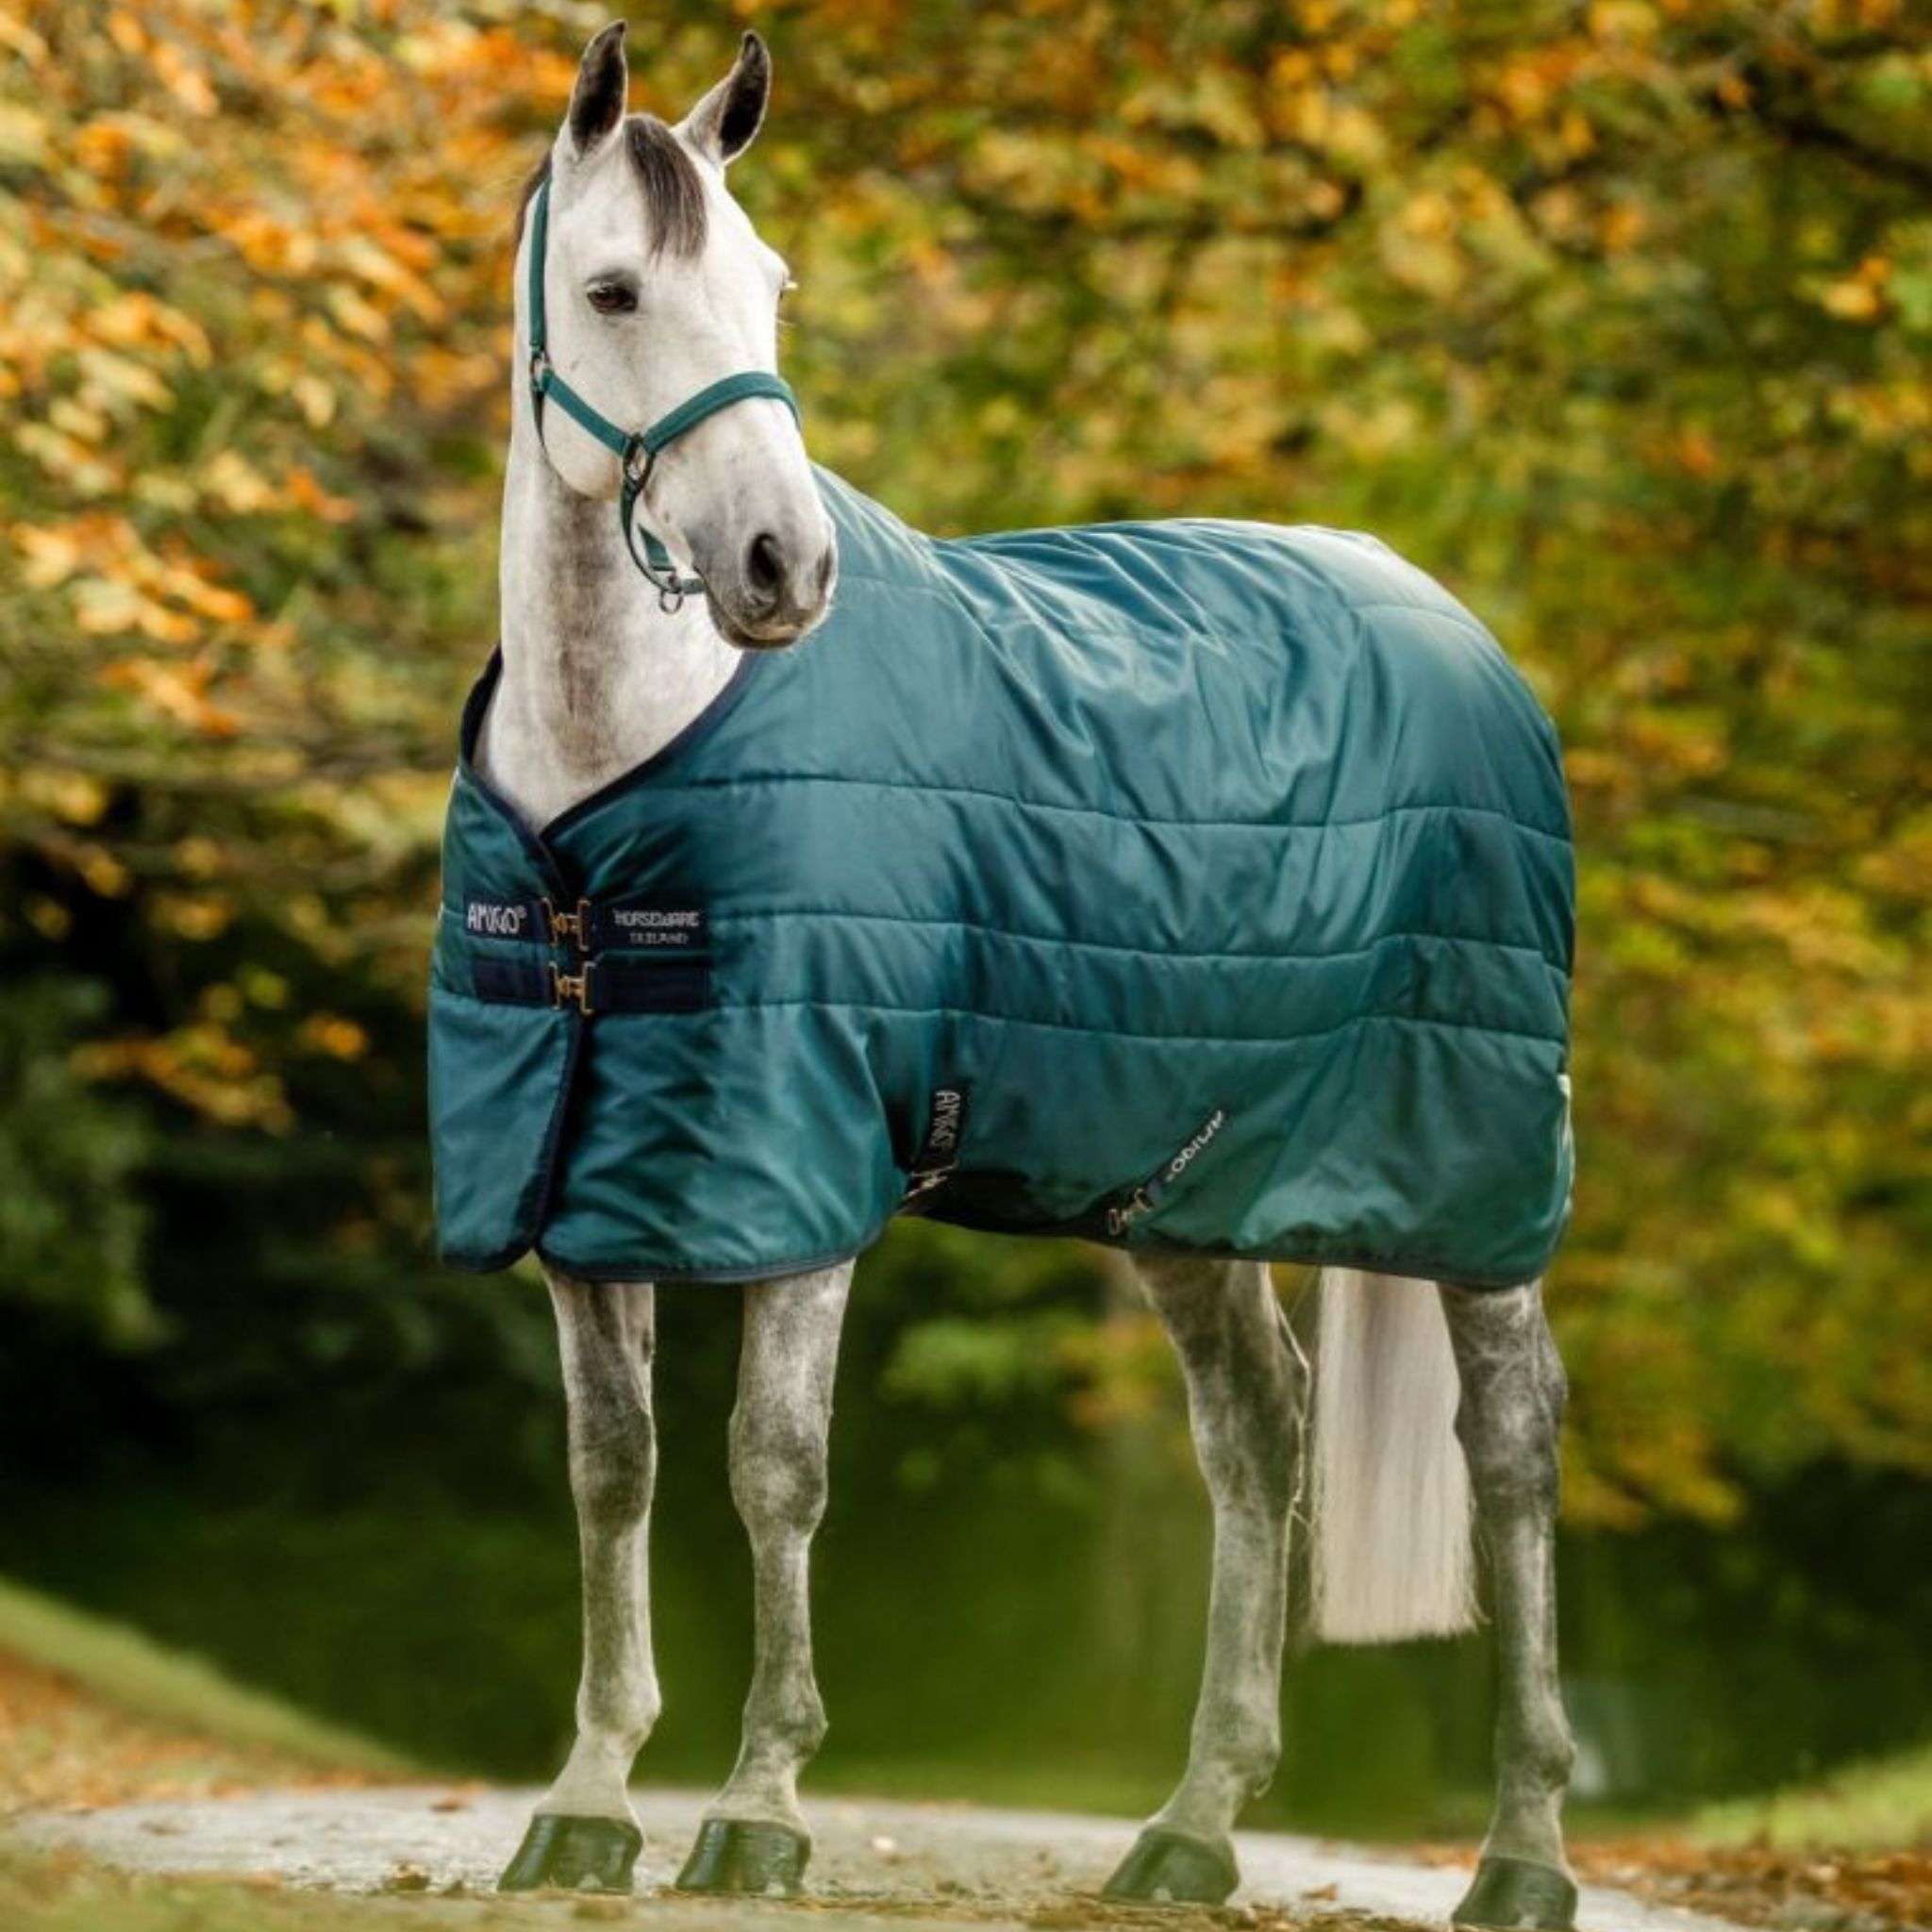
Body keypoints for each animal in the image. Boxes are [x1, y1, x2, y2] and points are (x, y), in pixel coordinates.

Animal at [450, 24, 1577, 1928]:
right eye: (612, 291)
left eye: (770, 287)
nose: (786, 568)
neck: (616, 785)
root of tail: (1448, 619)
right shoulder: (582, 1181)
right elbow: (613, 1474)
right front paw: (588, 1804)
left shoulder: (800, 1169)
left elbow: (773, 1468)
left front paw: (759, 1811)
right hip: (1188, 1180)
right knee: (1256, 1434)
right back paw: (1189, 1828)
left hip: (1474, 1168)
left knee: (1509, 1449)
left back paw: (1522, 1852)